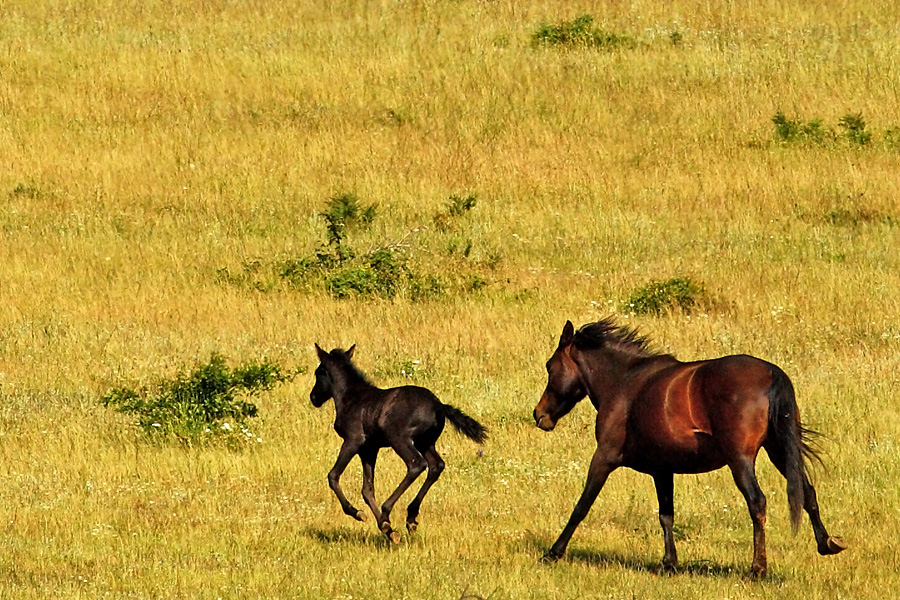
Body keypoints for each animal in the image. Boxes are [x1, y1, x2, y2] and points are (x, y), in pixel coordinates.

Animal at [312, 342, 488, 544]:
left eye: (319, 372)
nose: (313, 398)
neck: (351, 397)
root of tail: (438, 406)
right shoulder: (369, 449)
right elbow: (367, 489)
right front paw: (387, 528)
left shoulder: (353, 440)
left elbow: (333, 476)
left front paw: (359, 514)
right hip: (425, 443)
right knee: (436, 466)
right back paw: (410, 518)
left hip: (400, 439)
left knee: (416, 464)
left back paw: (388, 509)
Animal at [532, 318, 848, 576]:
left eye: (550, 366)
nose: (539, 415)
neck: (625, 383)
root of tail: (772, 374)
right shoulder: (662, 470)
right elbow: (666, 515)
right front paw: (670, 563)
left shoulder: (604, 458)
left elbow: (581, 506)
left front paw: (553, 553)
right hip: (779, 452)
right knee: (807, 492)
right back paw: (827, 543)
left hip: (741, 459)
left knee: (757, 502)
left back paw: (757, 569)